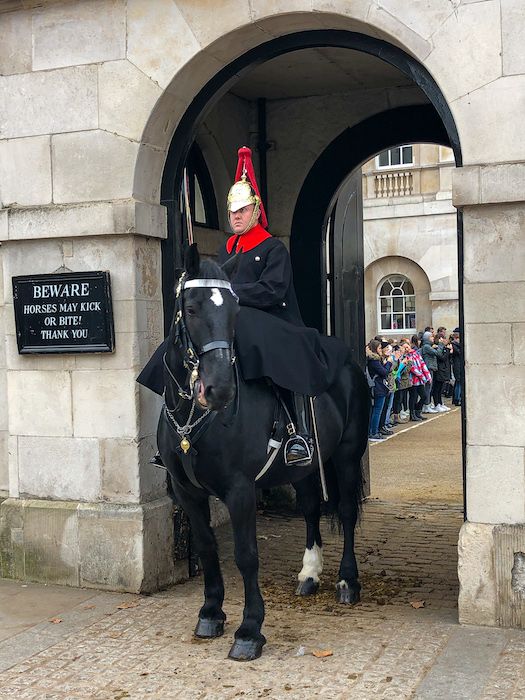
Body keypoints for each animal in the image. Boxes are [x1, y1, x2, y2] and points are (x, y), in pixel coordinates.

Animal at [158, 247, 370, 660]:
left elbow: (246, 555)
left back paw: (347, 582)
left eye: (235, 312)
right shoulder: (187, 491)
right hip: (302, 469)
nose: (220, 390)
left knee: (347, 512)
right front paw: (210, 612)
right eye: (190, 308)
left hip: (347, 455)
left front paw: (249, 630)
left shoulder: (240, 489)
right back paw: (309, 573)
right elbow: (207, 546)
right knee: (310, 509)